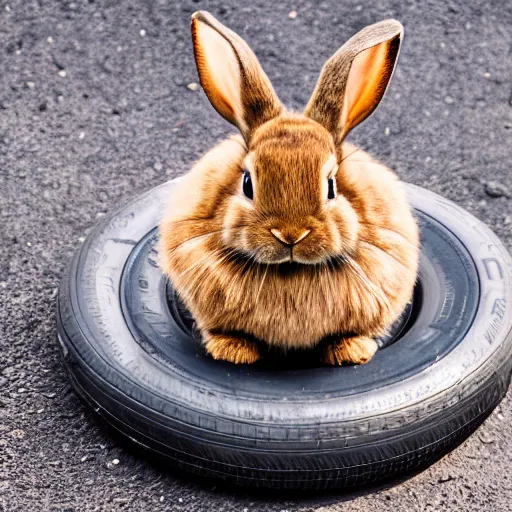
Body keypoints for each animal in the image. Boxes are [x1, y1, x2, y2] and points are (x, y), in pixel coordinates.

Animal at [158, 10, 418, 366]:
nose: (291, 235)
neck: (290, 271)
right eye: (247, 183)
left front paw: (351, 352)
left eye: (331, 186)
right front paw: (233, 353)